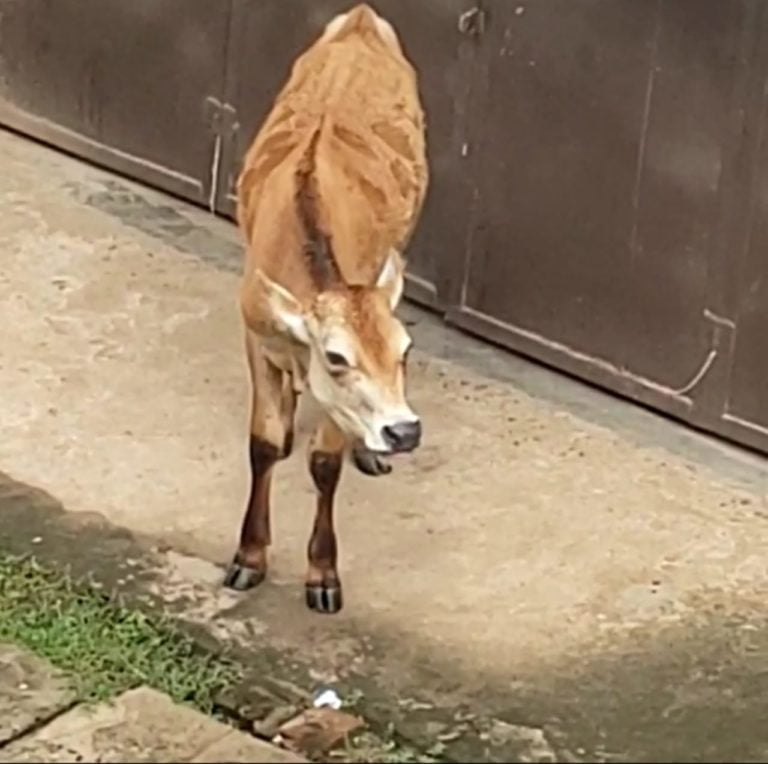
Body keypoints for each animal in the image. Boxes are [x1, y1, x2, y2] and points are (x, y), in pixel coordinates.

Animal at [223, 3, 429, 614]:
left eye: (406, 351)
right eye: (336, 357)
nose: (404, 431)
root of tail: (362, 16)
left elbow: (325, 463)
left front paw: (322, 575)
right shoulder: (257, 335)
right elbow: (265, 442)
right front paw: (248, 558)